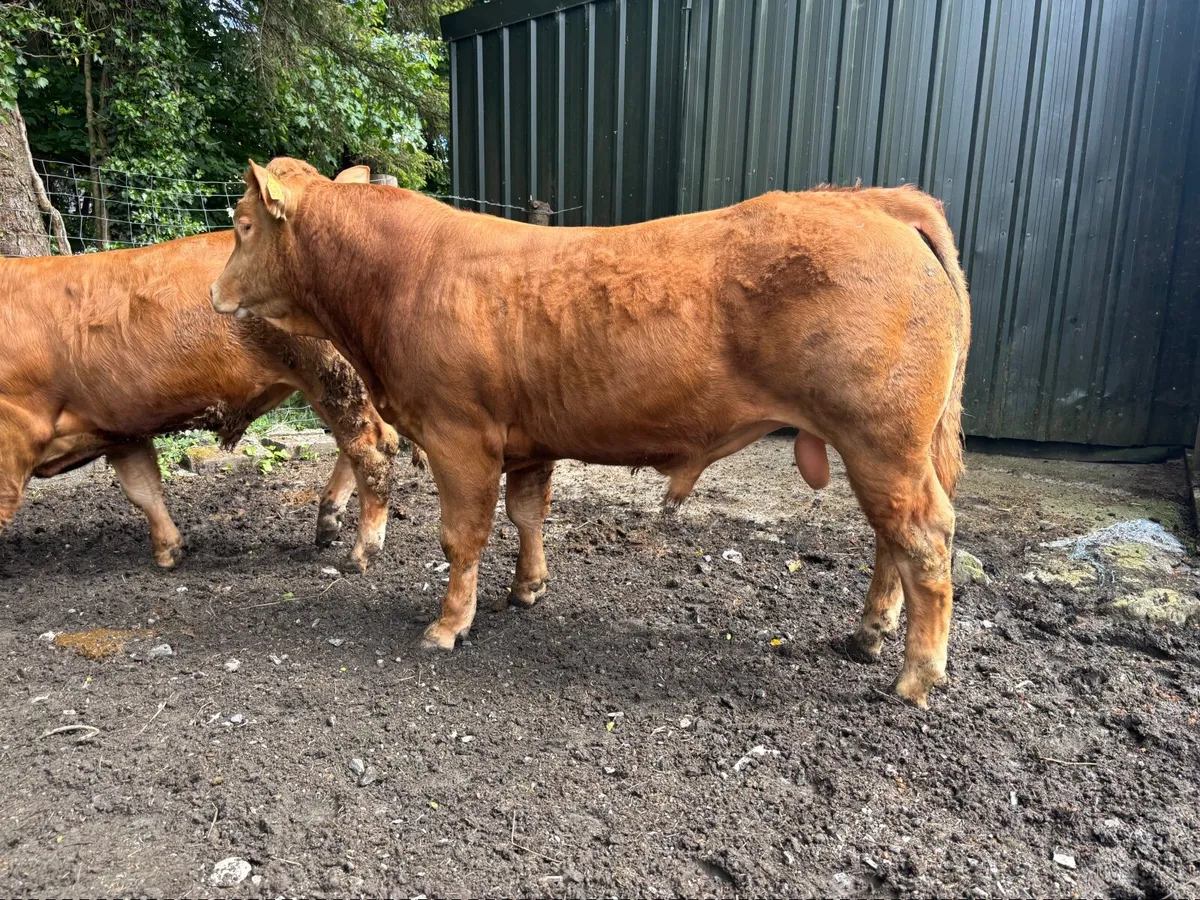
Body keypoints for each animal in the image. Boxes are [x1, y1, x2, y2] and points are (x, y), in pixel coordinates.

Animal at [0, 164, 420, 571]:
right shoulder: (120, 429)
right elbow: (143, 487)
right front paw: (170, 553)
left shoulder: (15, 430)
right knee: (360, 443)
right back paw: (327, 524)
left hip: (329, 375)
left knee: (371, 446)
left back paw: (360, 553)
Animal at [211, 157, 970, 708]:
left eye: (242, 224)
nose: (214, 294)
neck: (401, 276)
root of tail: (874, 201)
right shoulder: (525, 440)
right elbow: (526, 514)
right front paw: (527, 589)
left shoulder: (459, 436)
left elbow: (462, 536)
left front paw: (449, 624)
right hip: (888, 447)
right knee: (891, 539)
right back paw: (869, 637)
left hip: (881, 439)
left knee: (923, 539)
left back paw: (915, 675)